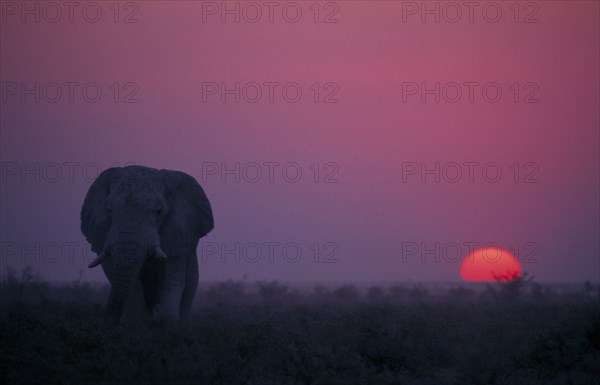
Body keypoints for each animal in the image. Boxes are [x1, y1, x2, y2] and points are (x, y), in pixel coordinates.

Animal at [81, 164, 214, 326]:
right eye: (109, 210)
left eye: (159, 212)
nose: (105, 324)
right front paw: (138, 324)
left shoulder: (178, 231)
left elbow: (173, 275)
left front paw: (168, 322)